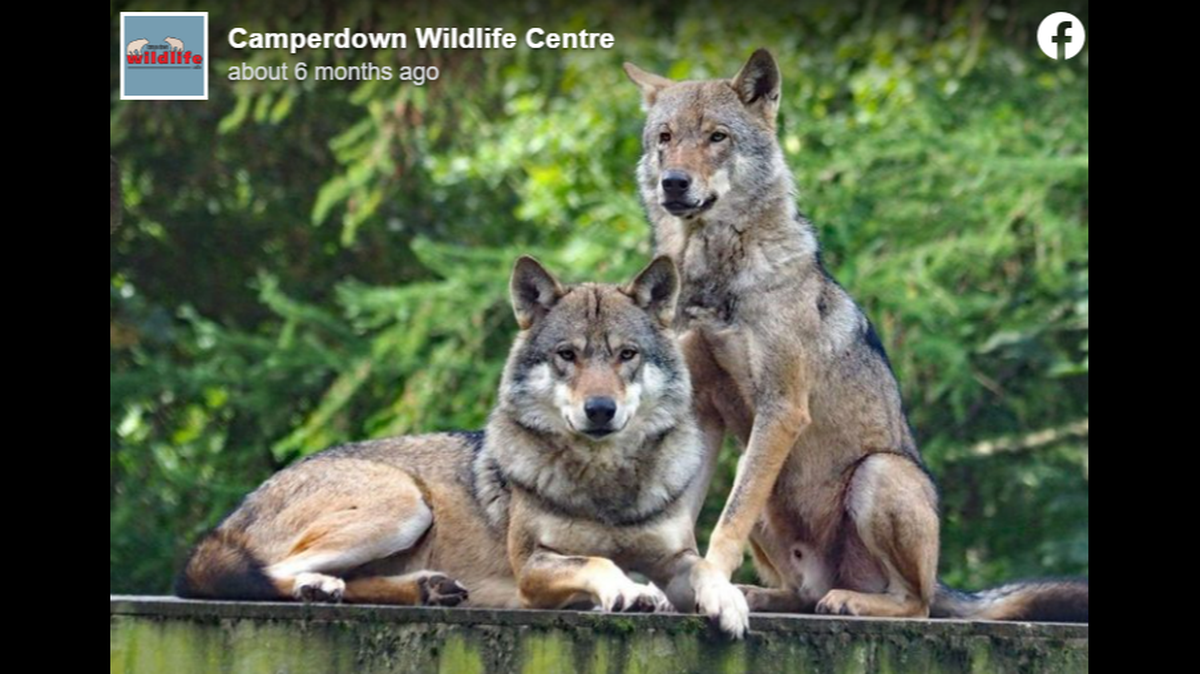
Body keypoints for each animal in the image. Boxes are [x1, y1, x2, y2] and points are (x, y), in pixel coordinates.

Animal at [177, 256, 733, 623]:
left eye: (626, 354)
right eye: (567, 355)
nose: (600, 410)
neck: (607, 482)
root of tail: (235, 514)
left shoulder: (673, 558)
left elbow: (707, 568)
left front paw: (728, 603)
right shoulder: (532, 569)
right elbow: (599, 560)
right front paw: (629, 591)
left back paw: (427, 588)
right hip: (403, 503)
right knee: (251, 573)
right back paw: (317, 586)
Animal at [623, 49, 1089, 634]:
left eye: (717, 137)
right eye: (665, 137)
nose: (674, 182)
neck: (716, 273)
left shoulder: (782, 409)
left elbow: (727, 520)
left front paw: (715, 590)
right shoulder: (703, 413)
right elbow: (689, 519)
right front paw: (684, 588)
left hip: (878, 473)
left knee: (916, 604)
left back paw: (851, 601)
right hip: (771, 489)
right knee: (800, 593)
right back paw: (764, 594)